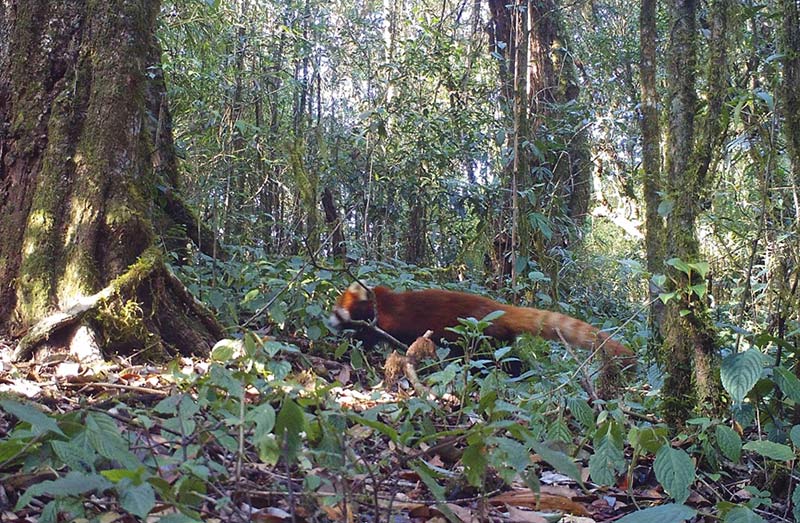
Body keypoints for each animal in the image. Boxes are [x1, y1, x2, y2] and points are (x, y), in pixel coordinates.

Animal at [328, 282, 636, 368]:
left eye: (337, 311)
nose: (328, 321)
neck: (380, 302)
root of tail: (498, 309)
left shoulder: (384, 322)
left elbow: (366, 339)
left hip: (479, 337)